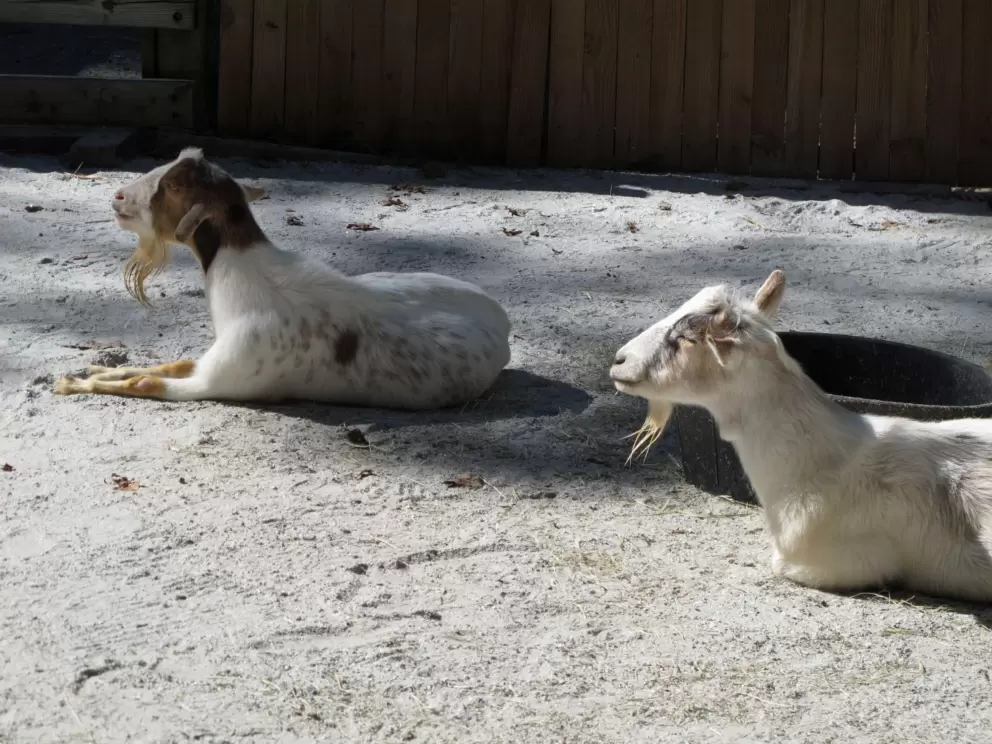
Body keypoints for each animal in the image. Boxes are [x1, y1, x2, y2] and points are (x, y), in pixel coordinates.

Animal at [54, 148, 512, 410]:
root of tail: (503, 323)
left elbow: (146, 381)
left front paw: (70, 384)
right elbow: (170, 362)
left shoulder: (219, 379)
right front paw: (89, 369)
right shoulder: (207, 361)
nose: (118, 198)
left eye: (173, 186)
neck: (244, 277)